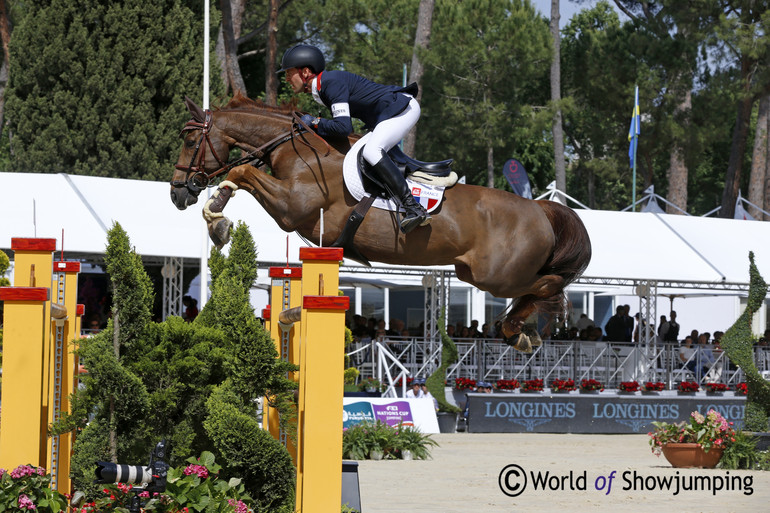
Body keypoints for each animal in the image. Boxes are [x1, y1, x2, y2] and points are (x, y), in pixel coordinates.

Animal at [170, 93, 588, 352]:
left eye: (190, 141)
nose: (178, 194)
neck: (294, 149)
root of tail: (541, 210)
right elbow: (240, 174)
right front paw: (216, 217)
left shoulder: (292, 207)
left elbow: (241, 171)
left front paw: (216, 220)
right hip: (470, 272)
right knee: (540, 287)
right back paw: (524, 329)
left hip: (496, 275)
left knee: (548, 285)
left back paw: (520, 328)